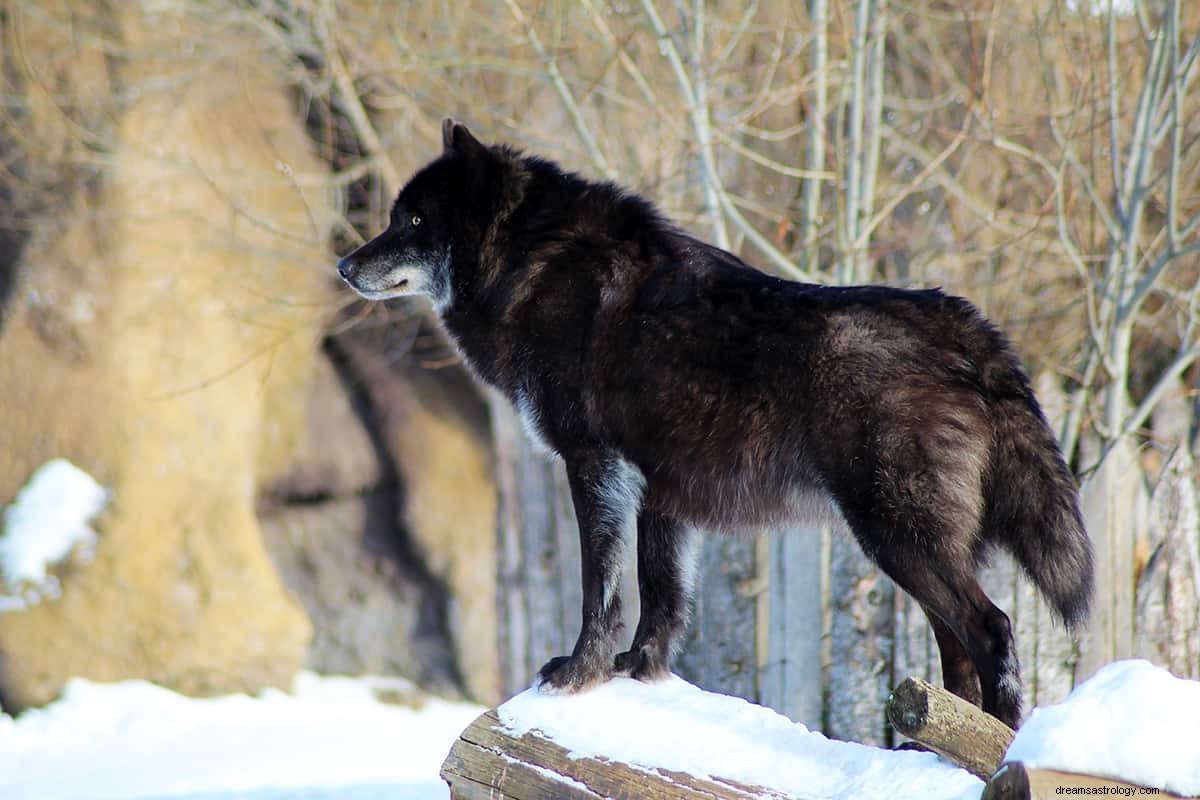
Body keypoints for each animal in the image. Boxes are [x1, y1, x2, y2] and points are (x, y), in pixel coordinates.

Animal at [333, 120, 1094, 734]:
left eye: (414, 221)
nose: (342, 265)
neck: (535, 266)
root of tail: (966, 325)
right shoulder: (661, 495)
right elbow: (662, 599)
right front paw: (637, 670)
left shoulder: (594, 466)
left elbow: (600, 587)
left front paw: (579, 674)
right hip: (908, 546)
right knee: (958, 647)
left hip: (898, 537)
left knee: (992, 627)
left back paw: (999, 744)